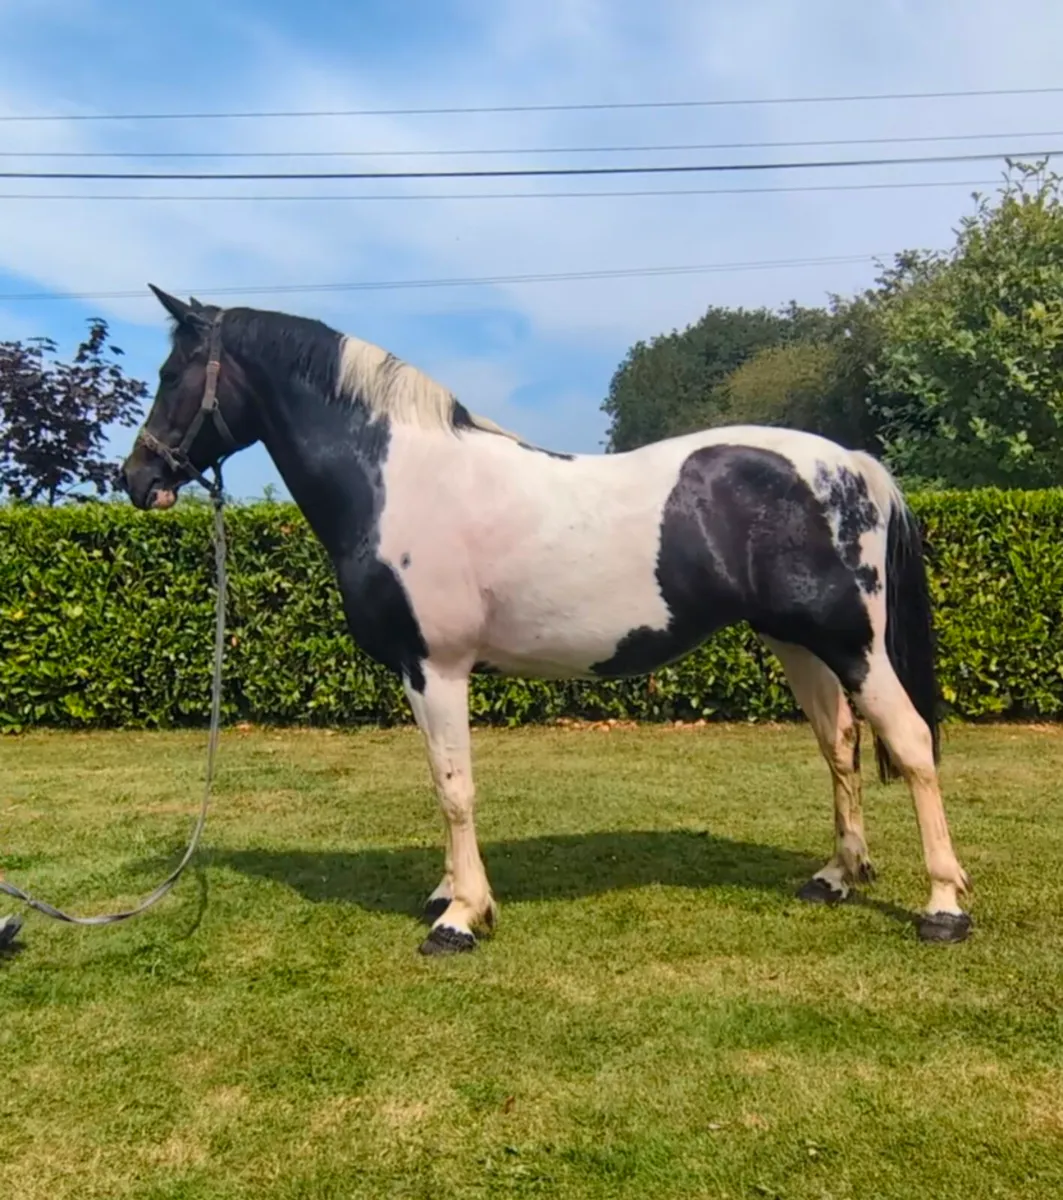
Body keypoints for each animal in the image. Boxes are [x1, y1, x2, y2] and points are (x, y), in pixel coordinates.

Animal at [120, 286, 972, 955]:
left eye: (171, 373)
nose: (135, 477)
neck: (398, 480)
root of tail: (851, 464)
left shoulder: (437, 668)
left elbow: (454, 785)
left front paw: (461, 917)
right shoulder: (418, 673)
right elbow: (441, 779)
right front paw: (448, 891)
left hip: (851, 643)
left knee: (909, 743)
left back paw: (942, 906)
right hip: (798, 643)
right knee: (839, 745)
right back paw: (836, 876)